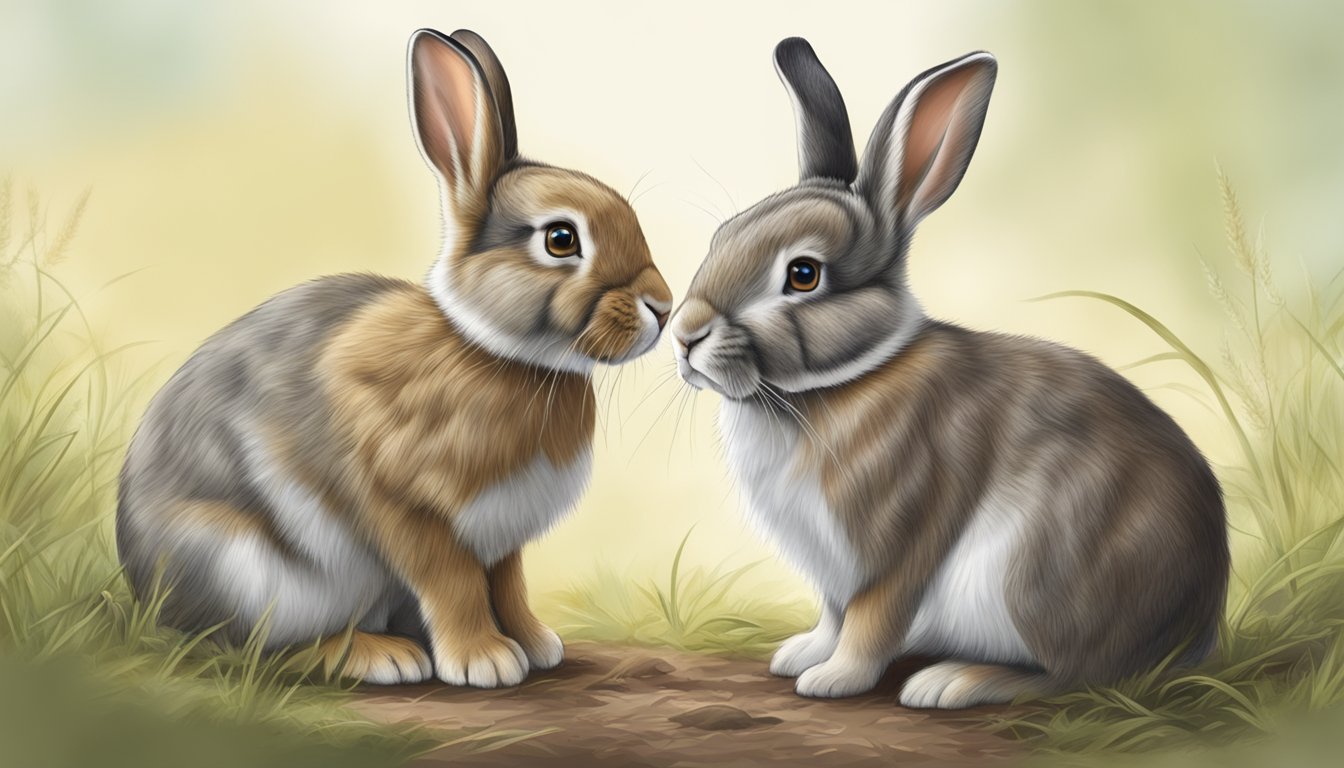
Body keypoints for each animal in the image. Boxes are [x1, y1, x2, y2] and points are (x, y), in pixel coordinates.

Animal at [116, 28, 672, 688]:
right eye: (561, 239)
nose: (663, 307)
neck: (493, 351)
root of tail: (147, 594)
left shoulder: (502, 533)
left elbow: (508, 585)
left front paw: (536, 645)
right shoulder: (404, 502)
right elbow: (453, 582)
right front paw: (484, 661)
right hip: (249, 570)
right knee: (256, 647)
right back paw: (381, 657)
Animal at [670, 38, 1228, 708]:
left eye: (803, 274)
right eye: (724, 235)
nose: (685, 334)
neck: (841, 382)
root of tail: (1194, 630)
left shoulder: (900, 539)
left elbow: (872, 619)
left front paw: (833, 679)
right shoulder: (831, 572)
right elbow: (833, 614)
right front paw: (799, 655)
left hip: (1038, 575)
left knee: (1076, 676)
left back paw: (952, 682)